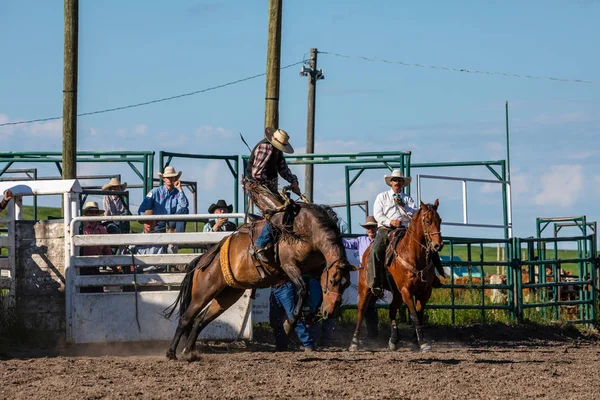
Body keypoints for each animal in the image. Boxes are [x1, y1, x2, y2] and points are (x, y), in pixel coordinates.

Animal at [165, 186, 352, 360]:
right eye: (333, 281)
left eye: (347, 284)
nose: (331, 312)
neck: (307, 230)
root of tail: (202, 259)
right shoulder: (289, 266)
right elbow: (303, 289)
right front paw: (289, 323)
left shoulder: (315, 271)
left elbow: (317, 293)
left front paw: (311, 317)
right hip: (203, 292)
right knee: (186, 319)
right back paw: (171, 353)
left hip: (227, 295)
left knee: (199, 321)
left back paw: (188, 352)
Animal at [350, 199, 442, 350]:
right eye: (428, 221)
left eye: (440, 220)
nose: (438, 245)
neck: (413, 255)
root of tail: (366, 252)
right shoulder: (406, 291)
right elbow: (414, 315)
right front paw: (422, 342)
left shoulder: (425, 291)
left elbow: (419, 315)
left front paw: (417, 339)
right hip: (365, 289)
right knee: (360, 312)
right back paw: (354, 342)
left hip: (397, 293)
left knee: (392, 309)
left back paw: (393, 339)